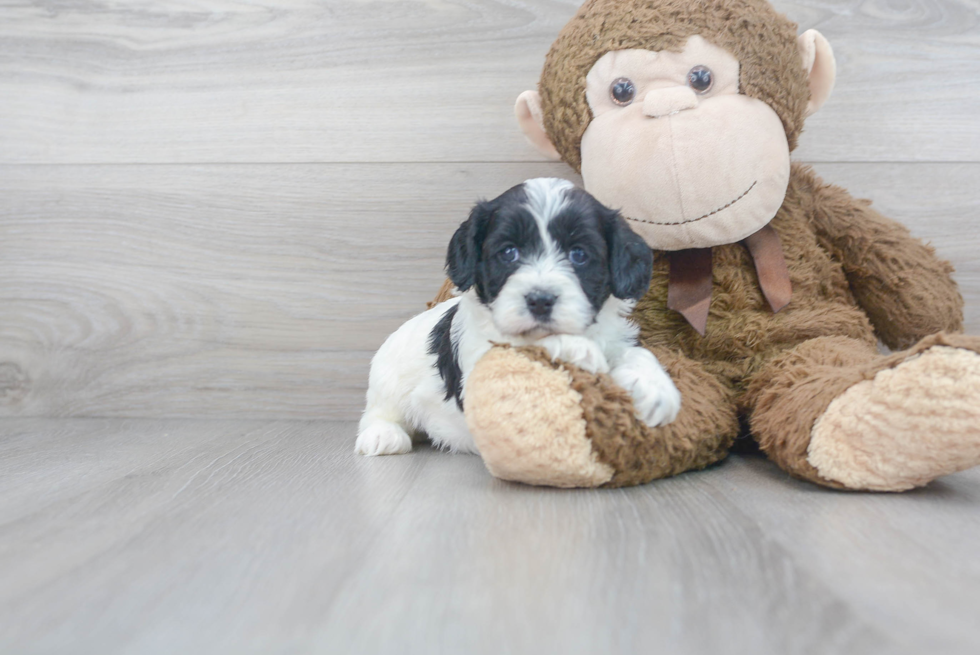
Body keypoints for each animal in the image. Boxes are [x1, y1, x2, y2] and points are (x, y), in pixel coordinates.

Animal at [354, 177, 680, 458]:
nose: (540, 300)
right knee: (376, 413)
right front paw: (577, 349)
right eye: (509, 252)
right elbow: (519, 344)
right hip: (387, 382)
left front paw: (655, 387)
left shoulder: (615, 336)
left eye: (578, 254)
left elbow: (637, 353)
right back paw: (383, 435)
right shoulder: (479, 370)